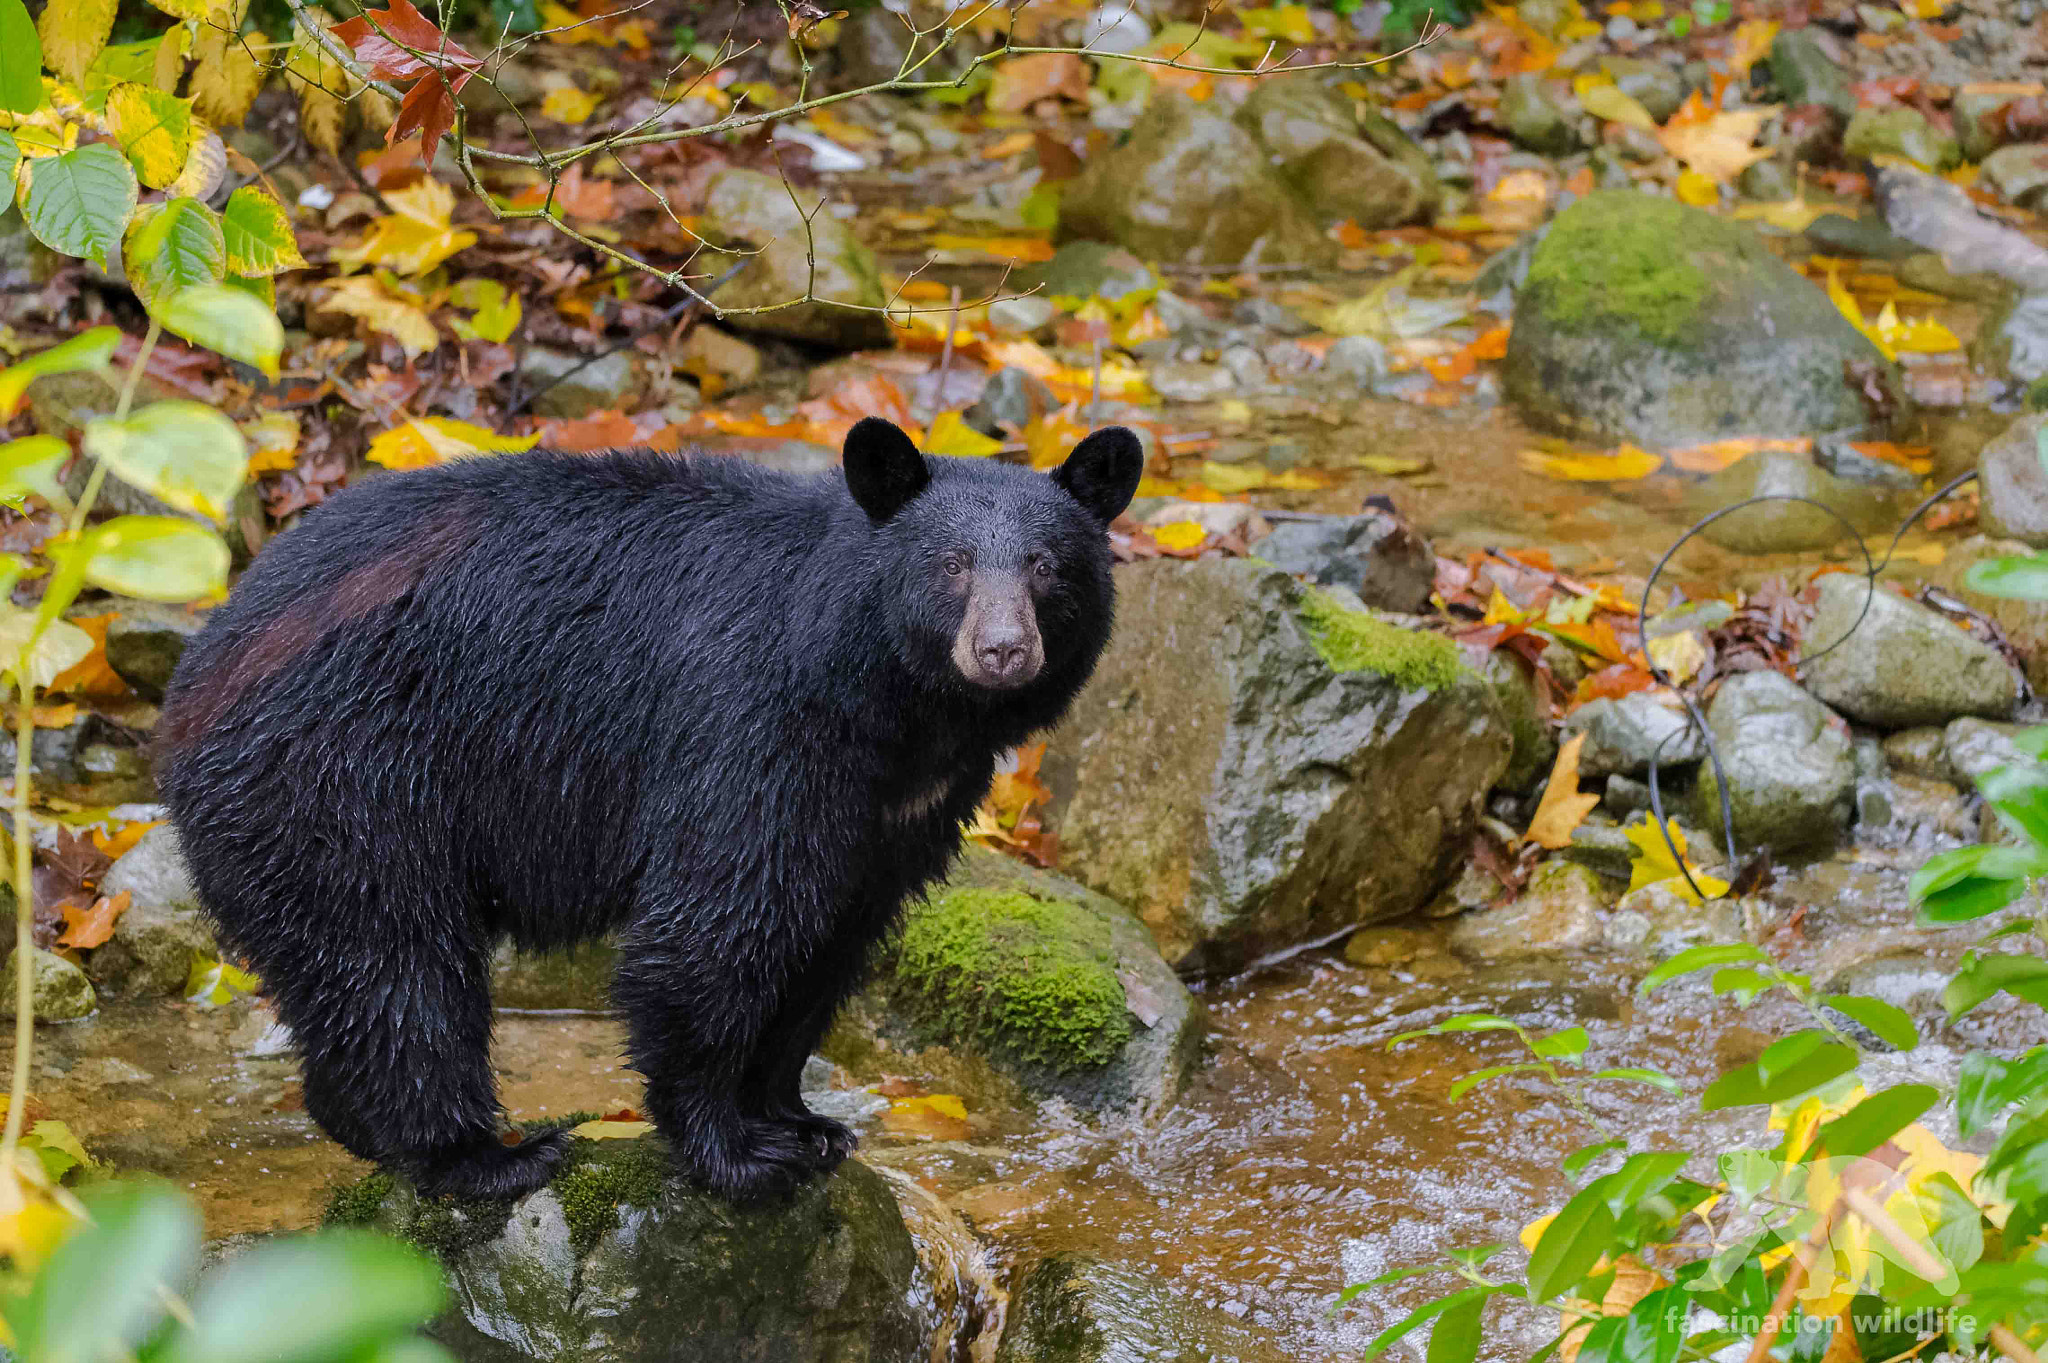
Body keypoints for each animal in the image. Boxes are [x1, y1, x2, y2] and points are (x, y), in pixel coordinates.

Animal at [156, 416, 1142, 1202]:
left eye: (1047, 566)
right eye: (951, 564)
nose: (1003, 649)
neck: (893, 706)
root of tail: (194, 676)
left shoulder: (897, 811)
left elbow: (830, 942)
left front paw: (803, 1120)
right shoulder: (754, 725)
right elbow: (722, 917)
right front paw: (737, 1151)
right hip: (343, 781)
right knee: (396, 963)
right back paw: (482, 1155)